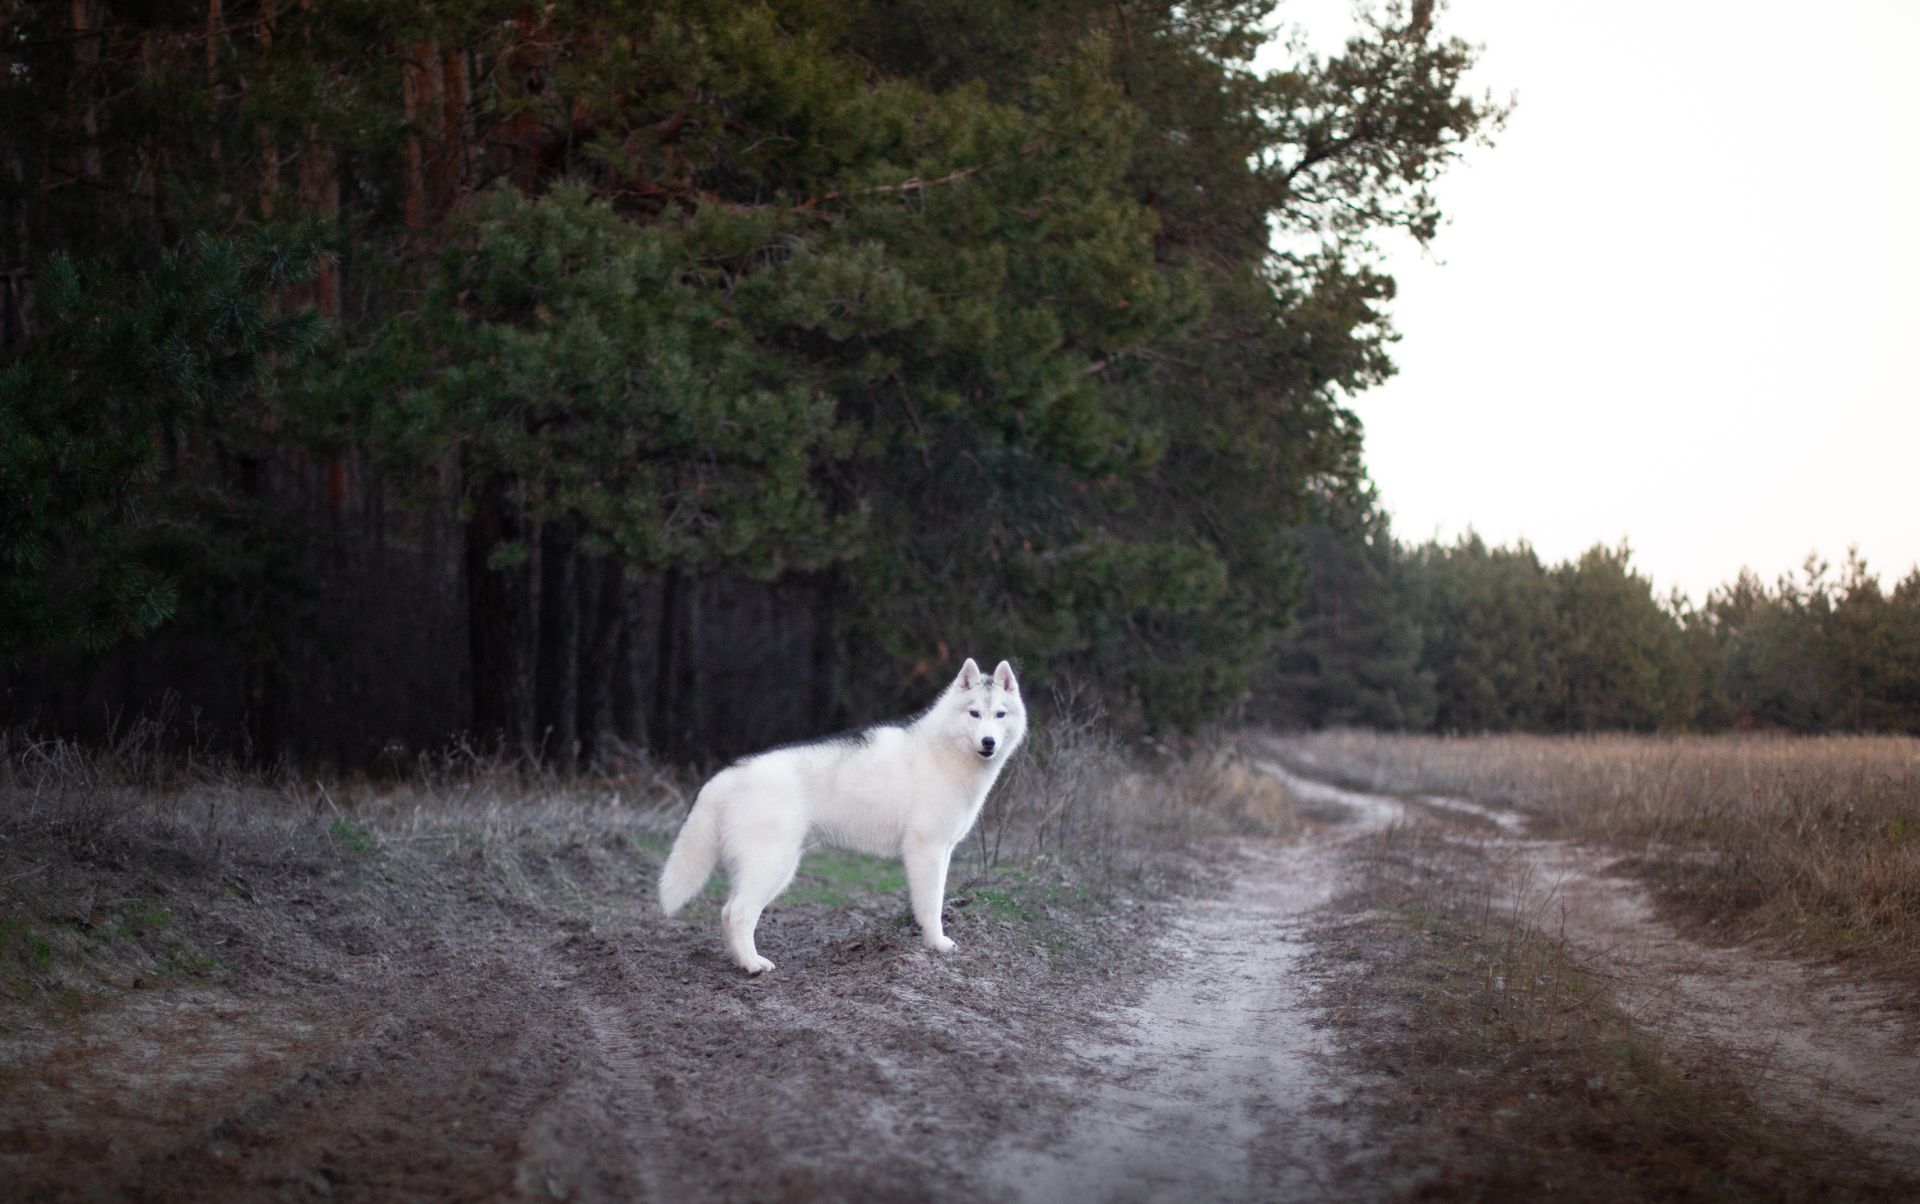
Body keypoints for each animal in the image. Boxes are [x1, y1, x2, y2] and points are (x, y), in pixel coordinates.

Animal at [656, 660, 1029, 979]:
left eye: (999, 714)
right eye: (974, 713)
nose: (988, 742)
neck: (947, 754)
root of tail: (728, 773)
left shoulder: (941, 851)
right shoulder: (928, 850)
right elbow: (932, 906)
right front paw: (936, 945)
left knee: (726, 912)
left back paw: (739, 960)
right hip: (773, 866)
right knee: (738, 914)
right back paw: (751, 965)